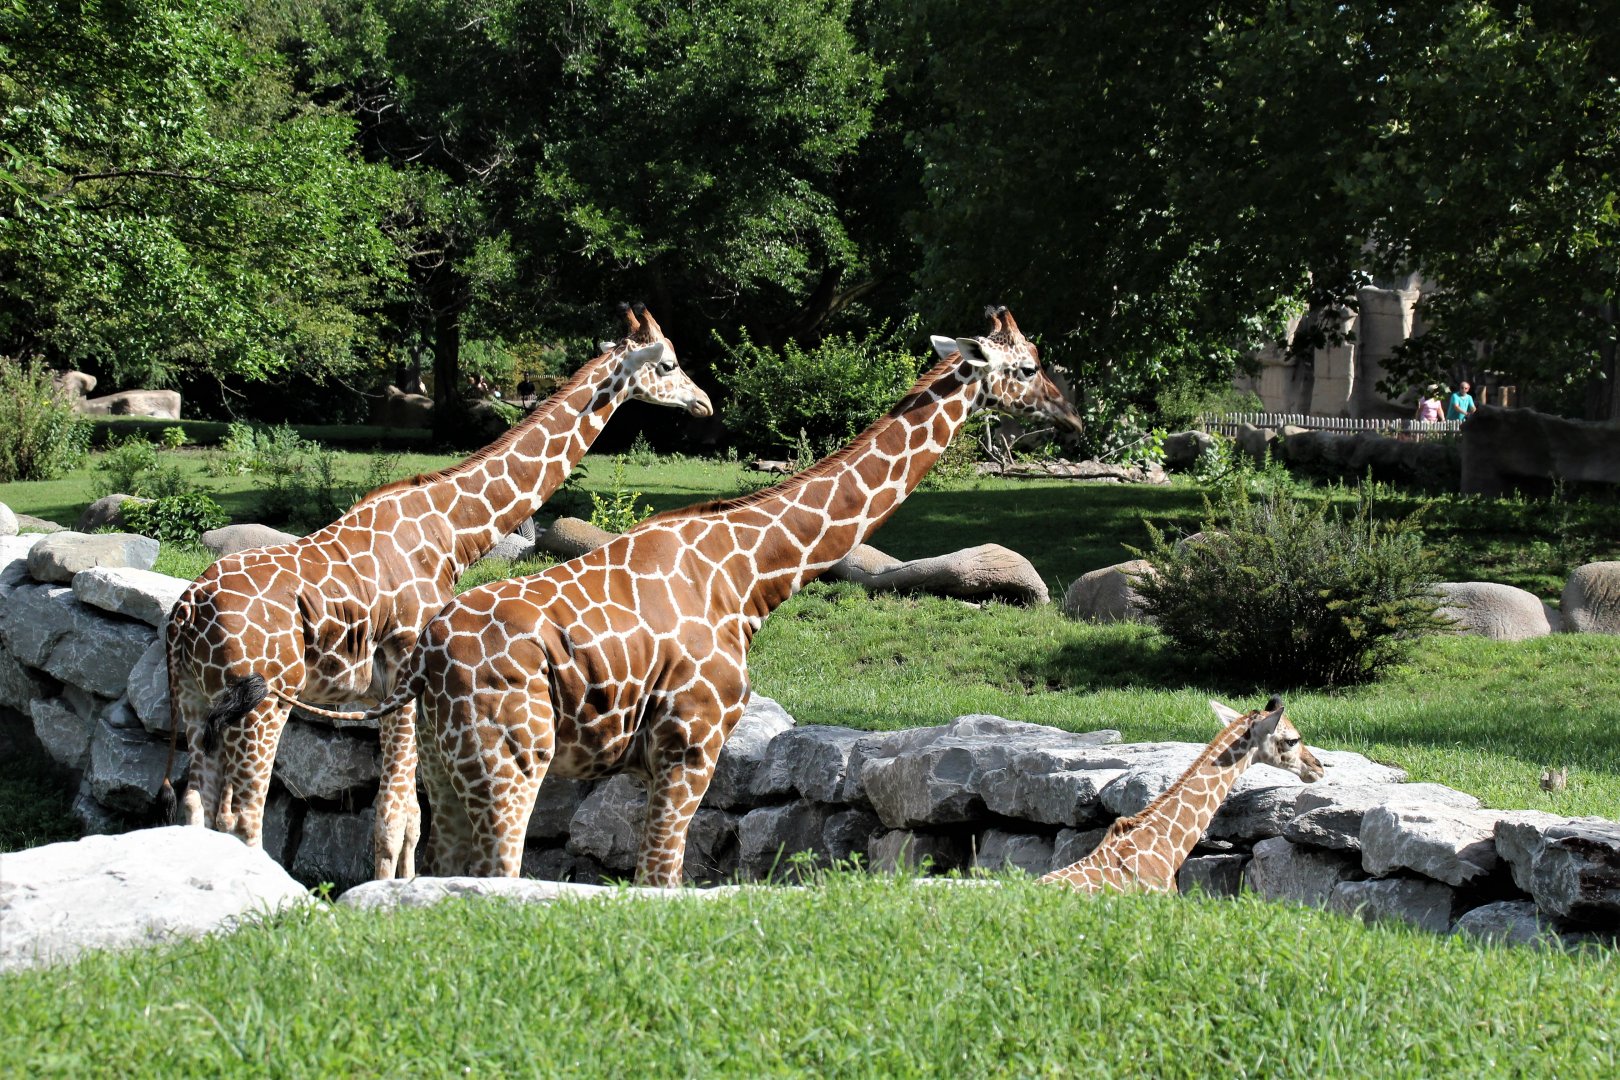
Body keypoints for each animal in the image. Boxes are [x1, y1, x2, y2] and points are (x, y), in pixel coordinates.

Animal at [163, 304, 712, 880]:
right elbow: (395, 816)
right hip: (260, 703)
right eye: (669, 364)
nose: (704, 403)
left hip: (198, 701)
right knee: (243, 815)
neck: (452, 530)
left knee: (194, 804)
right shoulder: (404, 670)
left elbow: (411, 817)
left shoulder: (388, 692)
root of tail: (182, 615)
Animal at [303, 305, 1084, 884]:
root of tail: (431, 663)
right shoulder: (693, 739)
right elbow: (662, 879)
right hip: (511, 762)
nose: (1074, 417)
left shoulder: (652, 758)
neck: (751, 575)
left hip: (447, 768)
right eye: (1030, 367)